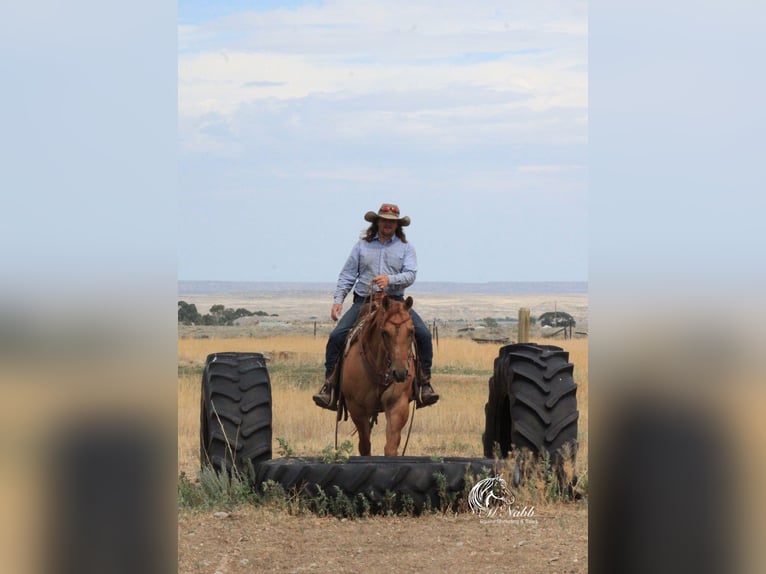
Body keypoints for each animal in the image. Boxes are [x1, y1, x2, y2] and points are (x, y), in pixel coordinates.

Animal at [340, 294, 416, 456]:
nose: (400, 372)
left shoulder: (397, 404)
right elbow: (364, 445)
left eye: (411, 331)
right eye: (384, 332)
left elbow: (391, 446)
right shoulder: (357, 408)